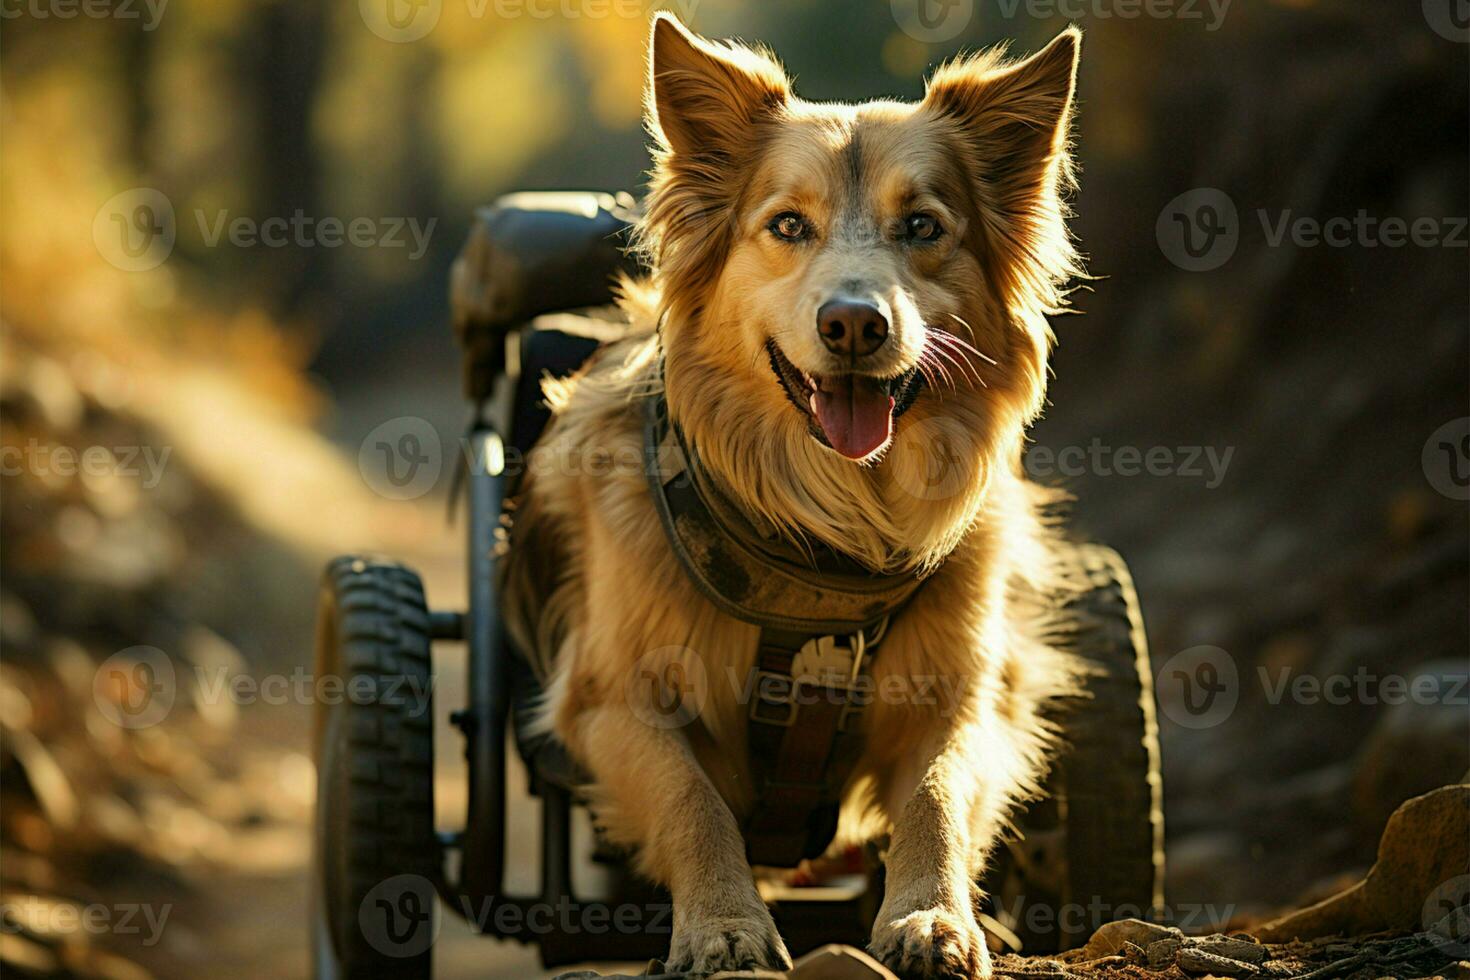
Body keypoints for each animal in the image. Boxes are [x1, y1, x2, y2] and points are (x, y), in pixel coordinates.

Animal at [499, 17, 1087, 980]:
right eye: (788, 225)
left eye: (922, 226)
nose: (854, 324)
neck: (827, 531)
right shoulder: (608, 702)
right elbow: (691, 798)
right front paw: (721, 924)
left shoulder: (966, 698)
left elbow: (935, 795)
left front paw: (932, 917)